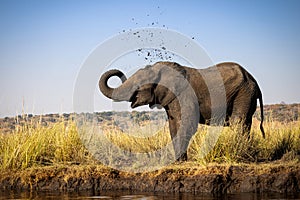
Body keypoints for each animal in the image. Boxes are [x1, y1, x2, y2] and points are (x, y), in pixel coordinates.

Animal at [99, 61, 264, 161]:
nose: (119, 72)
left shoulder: (185, 95)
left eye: (139, 85)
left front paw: (179, 161)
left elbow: (186, 125)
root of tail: (254, 80)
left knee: (238, 123)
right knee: (245, 124)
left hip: (244, 93)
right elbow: (174, 126)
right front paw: (179, 161)